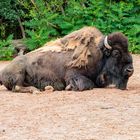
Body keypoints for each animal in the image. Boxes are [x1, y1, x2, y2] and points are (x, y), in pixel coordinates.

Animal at [0, 26, 134, 93]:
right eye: (116, 53)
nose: (130, 70)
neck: (100, 55)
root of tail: (3, 72)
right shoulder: (73, 74)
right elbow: (87, 84)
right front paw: (70, 87)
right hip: (19, 72)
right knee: (17, 87)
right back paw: (36, 90)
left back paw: (47, 88)